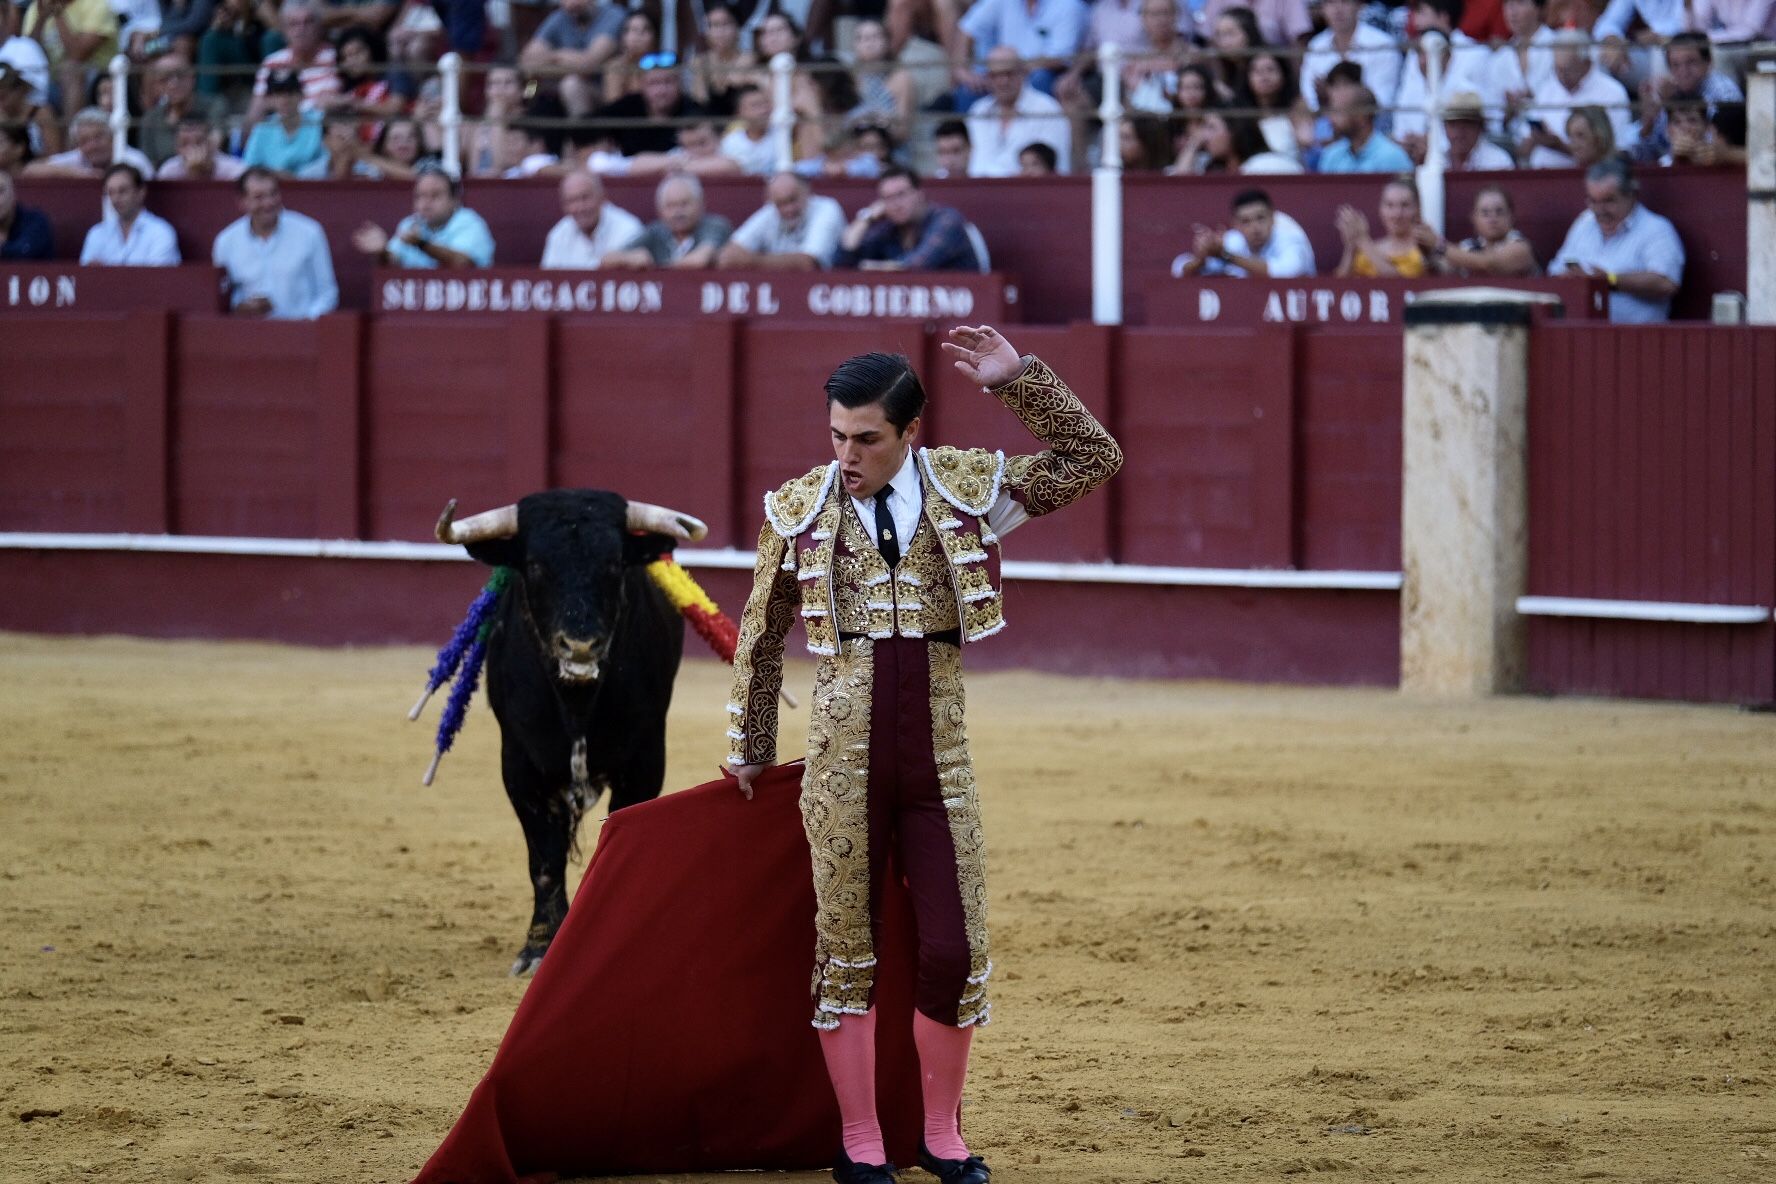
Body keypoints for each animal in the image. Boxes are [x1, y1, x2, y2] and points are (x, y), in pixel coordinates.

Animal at [436, 489, 706, 972]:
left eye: (615, 563)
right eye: (535, 564)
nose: (580, 646)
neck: (577, 700)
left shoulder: (644, 761)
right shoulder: (519, 767)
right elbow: (544, 858)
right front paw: (540, 947)